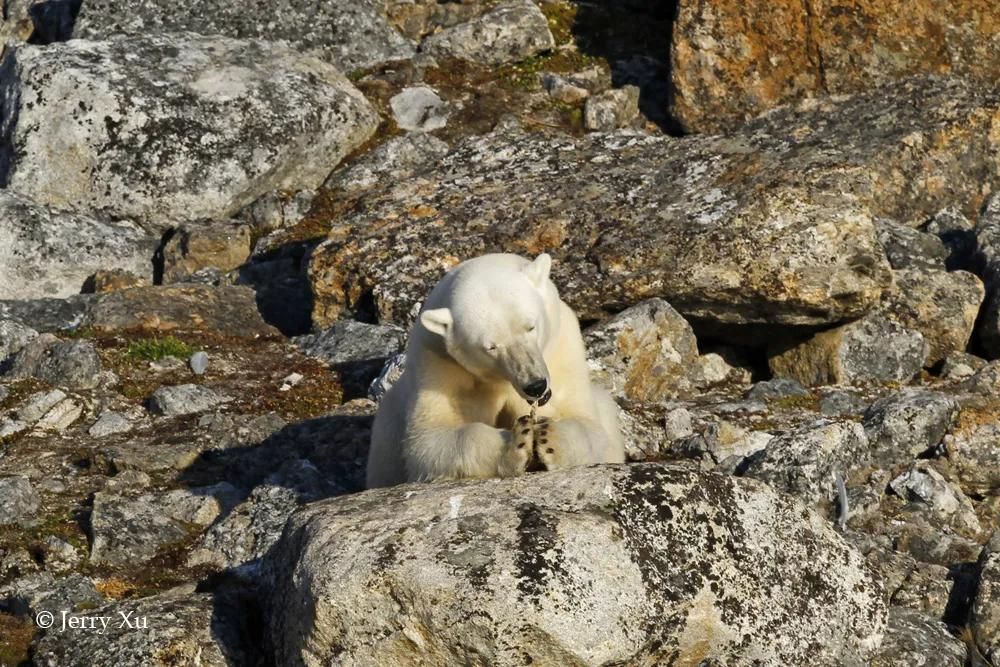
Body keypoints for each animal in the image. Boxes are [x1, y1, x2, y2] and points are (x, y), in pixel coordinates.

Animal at [364, 253, 620, 488]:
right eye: (491, 347)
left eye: (530, 326)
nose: (535, 386)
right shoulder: (438, 363)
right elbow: (429, 439)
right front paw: (516, 441)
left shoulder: (562, 345)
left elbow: (584, 421)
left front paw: (549, 438)